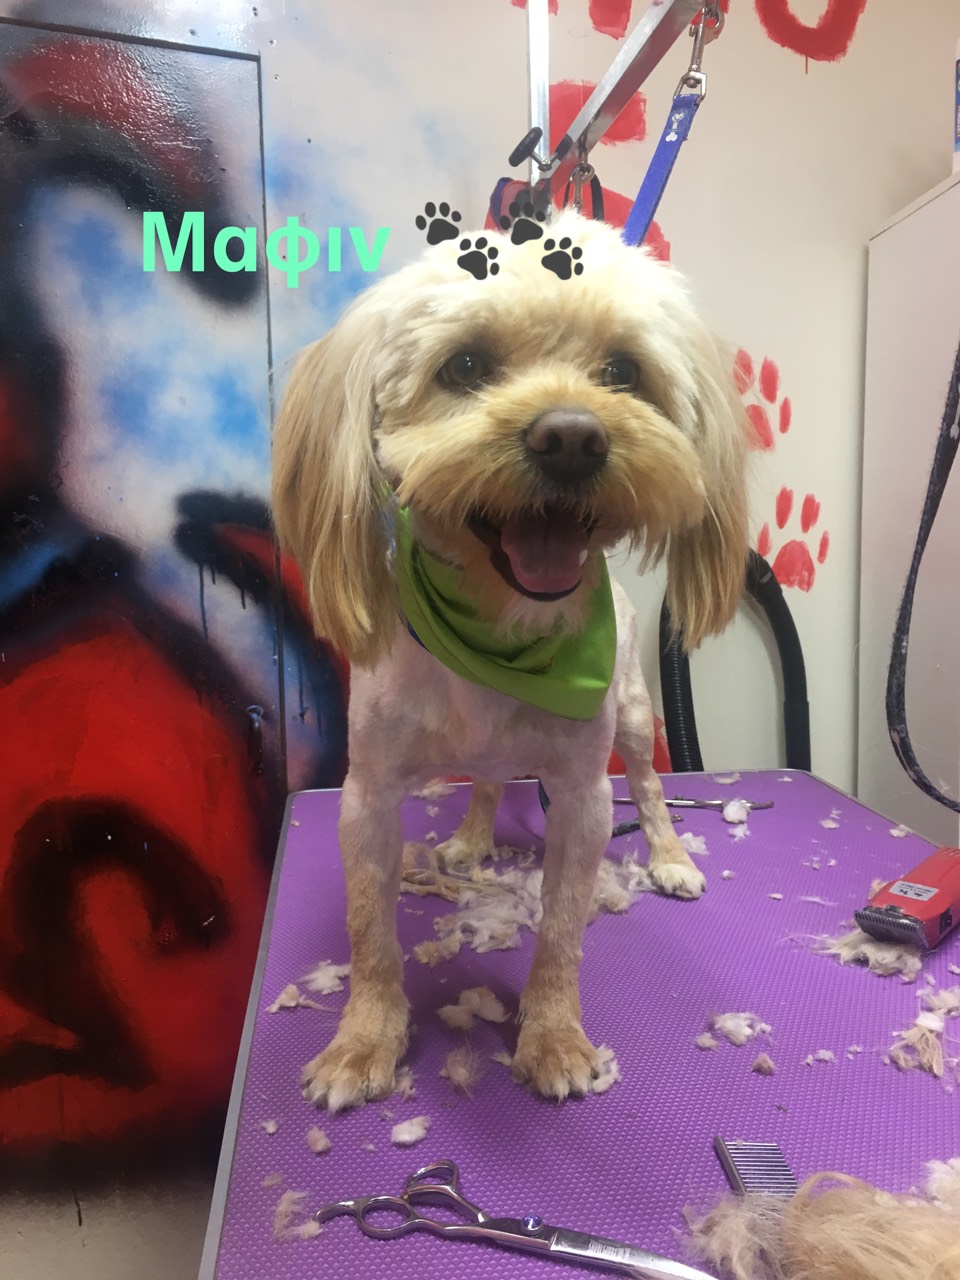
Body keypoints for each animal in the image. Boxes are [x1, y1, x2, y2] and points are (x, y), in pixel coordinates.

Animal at [271, 210, 749, 1111]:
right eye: (465, 366)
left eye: (622, 371)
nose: (573, 438)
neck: (499, 631)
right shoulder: (367, 795)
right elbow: (369, 934)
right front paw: (364, 1042)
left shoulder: (585, 796)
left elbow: (561, 930)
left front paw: (554, 1037)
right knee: (489, 779)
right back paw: (470, 834)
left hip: (635, 716)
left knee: (652, 788)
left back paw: (669, 858)